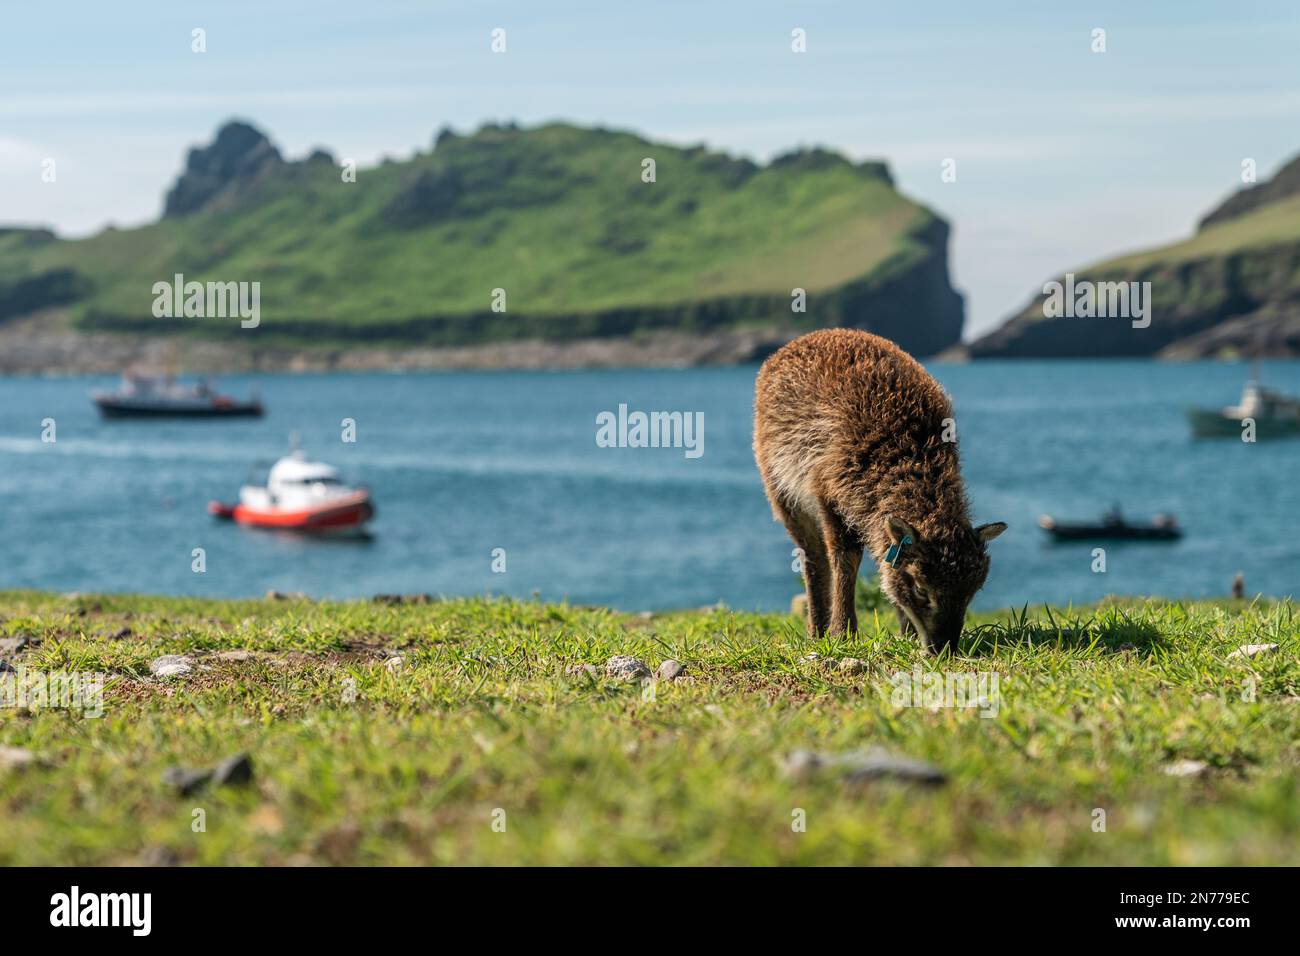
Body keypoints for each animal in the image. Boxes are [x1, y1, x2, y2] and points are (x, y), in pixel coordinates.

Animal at [754, 330, 1003, 658]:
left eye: (972, 592)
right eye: (921, 589)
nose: (943, 650)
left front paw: (906, 634)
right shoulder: (828, 494)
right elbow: (844, 560)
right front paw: (843, 633)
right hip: (781, 489)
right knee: (812, 557)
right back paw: (816, 630)